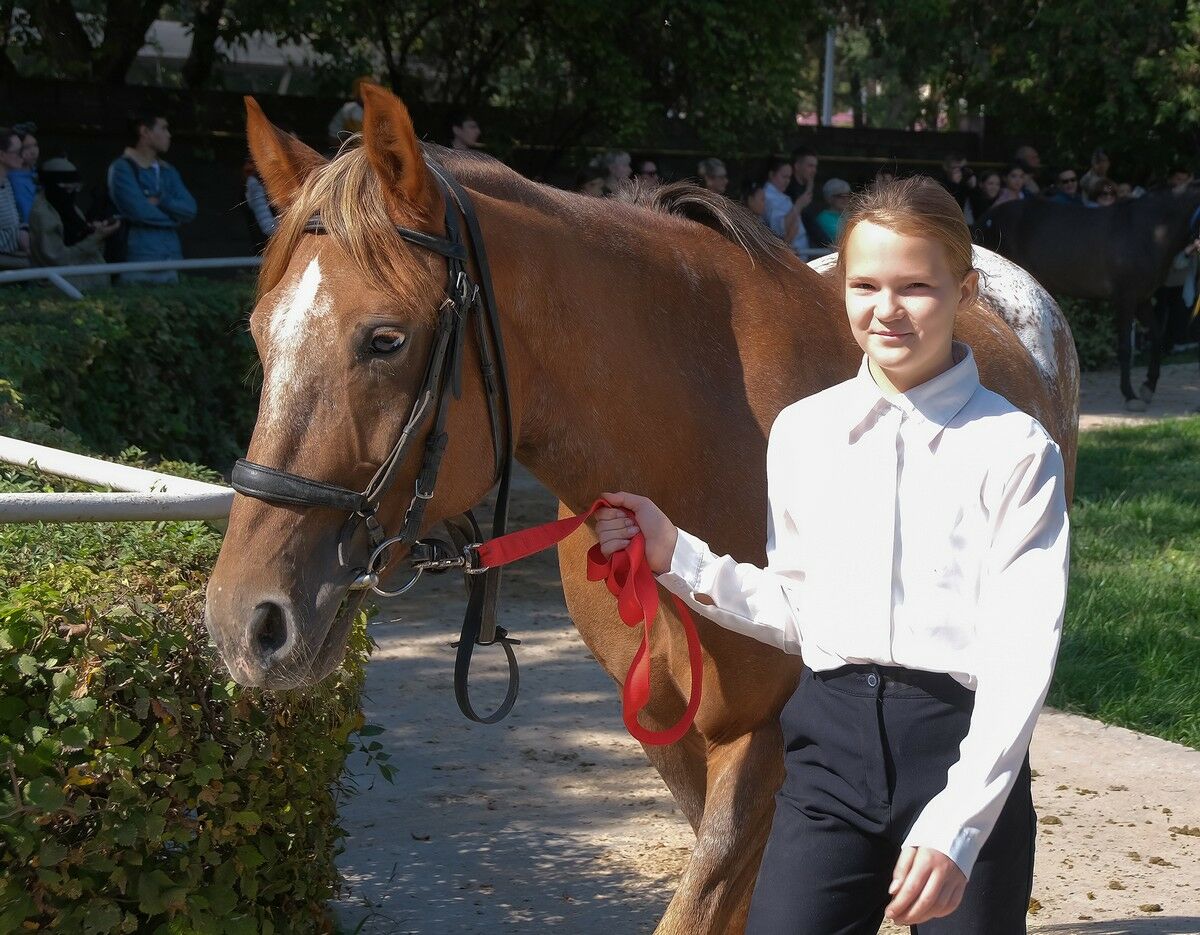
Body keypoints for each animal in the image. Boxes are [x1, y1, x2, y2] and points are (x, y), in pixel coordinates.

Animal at [204, 84, 1079, 933]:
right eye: (259, 333)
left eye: (385, 338)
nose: (246, 621)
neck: (699, 438)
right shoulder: (671, 730)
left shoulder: (764, 737)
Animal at [976, 190, 1200, 410]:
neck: (1146, 232)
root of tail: (986, 217)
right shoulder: (1125, 299)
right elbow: (1125, 347)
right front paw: (1130, 395)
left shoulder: (1142, 300)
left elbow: (1157, 336)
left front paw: (1148, 386)